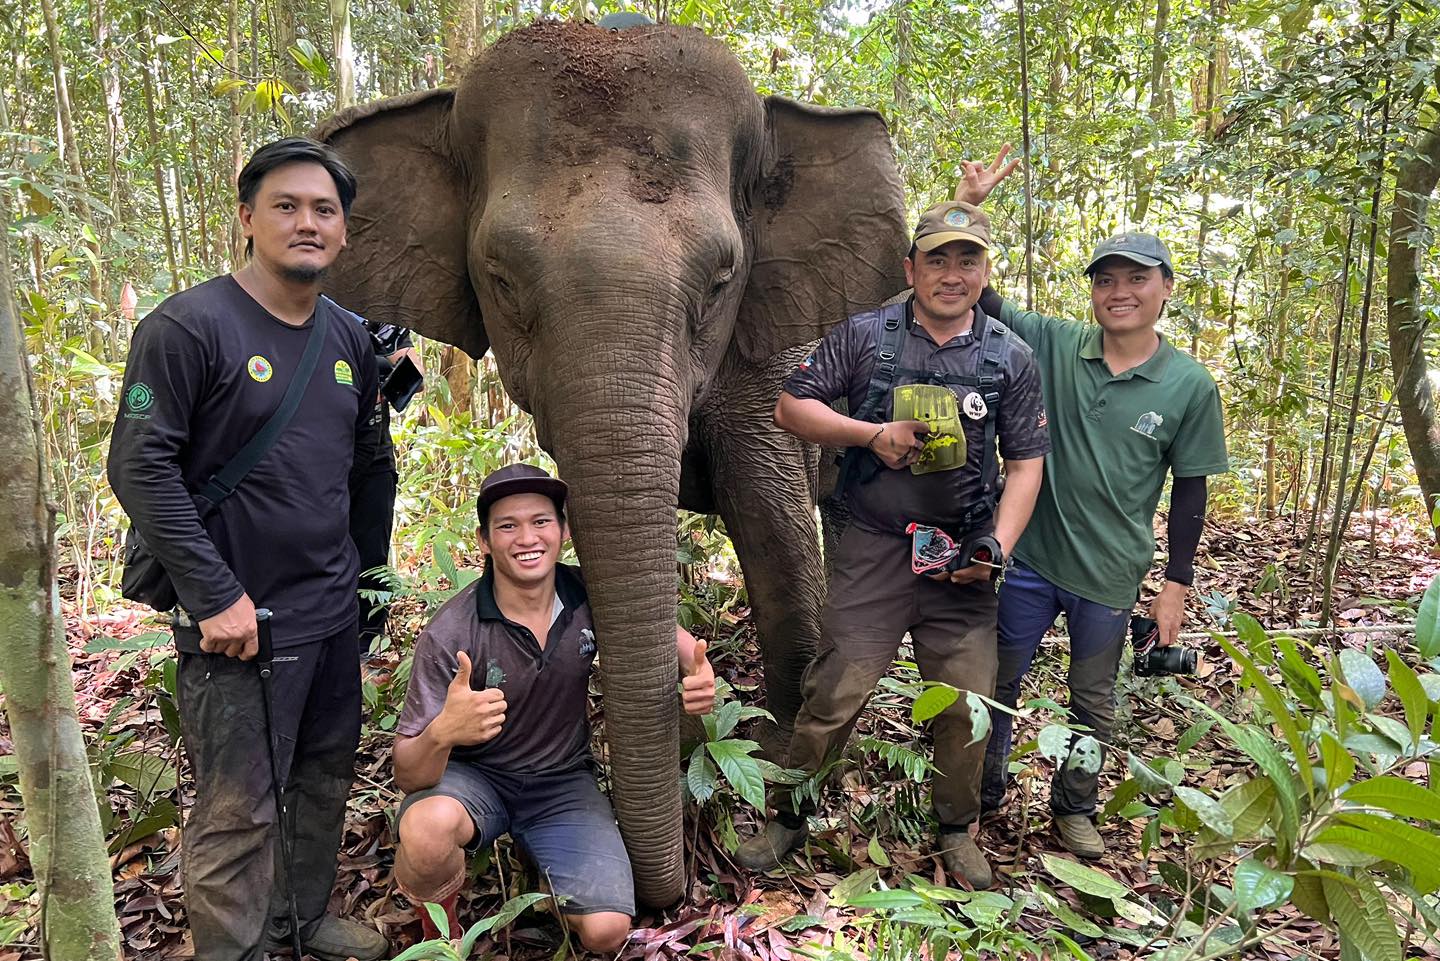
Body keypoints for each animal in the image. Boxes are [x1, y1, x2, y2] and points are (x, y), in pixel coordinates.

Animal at [314, 19, 908, 906]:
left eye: (722, 277)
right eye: (500, 278)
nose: (683, 883)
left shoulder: (770, 361)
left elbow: (778, 550)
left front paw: (773, 804)